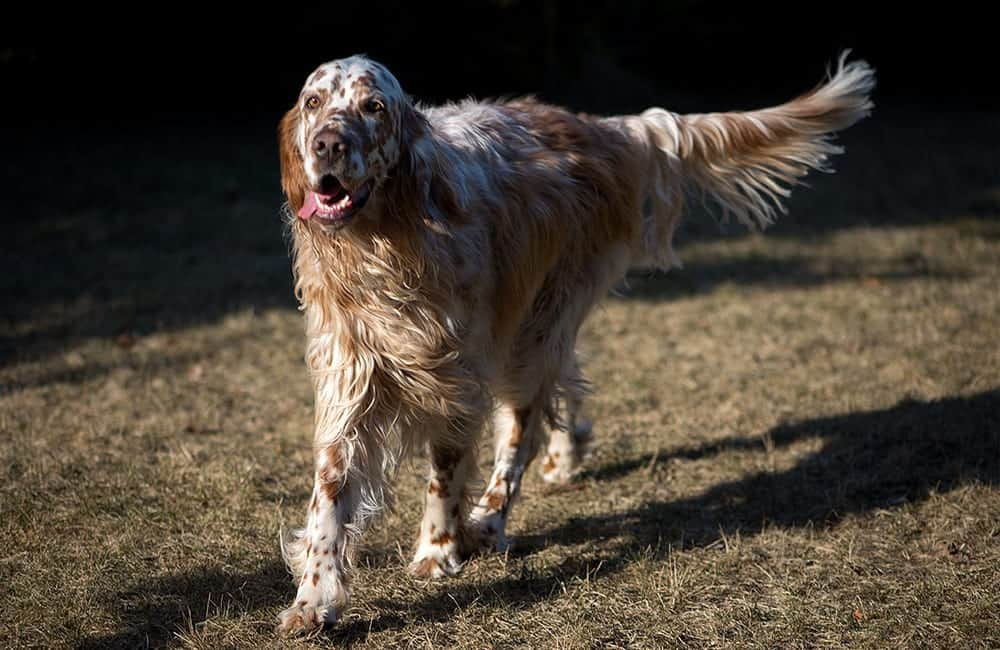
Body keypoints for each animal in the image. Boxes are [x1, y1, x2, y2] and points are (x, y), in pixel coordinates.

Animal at [276, 53, 876, 632]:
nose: (328, 144)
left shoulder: (456, 379)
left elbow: (445, 474)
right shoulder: (349, 381)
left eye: (374, 106)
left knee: (521, 430)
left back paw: (491, 518)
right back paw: (565, 454)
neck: (385, 244)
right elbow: (330, 491)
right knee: (561, 384)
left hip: (535, 329)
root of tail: (597, 127)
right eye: (313, 103)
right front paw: (313, 599)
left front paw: (437, 551)